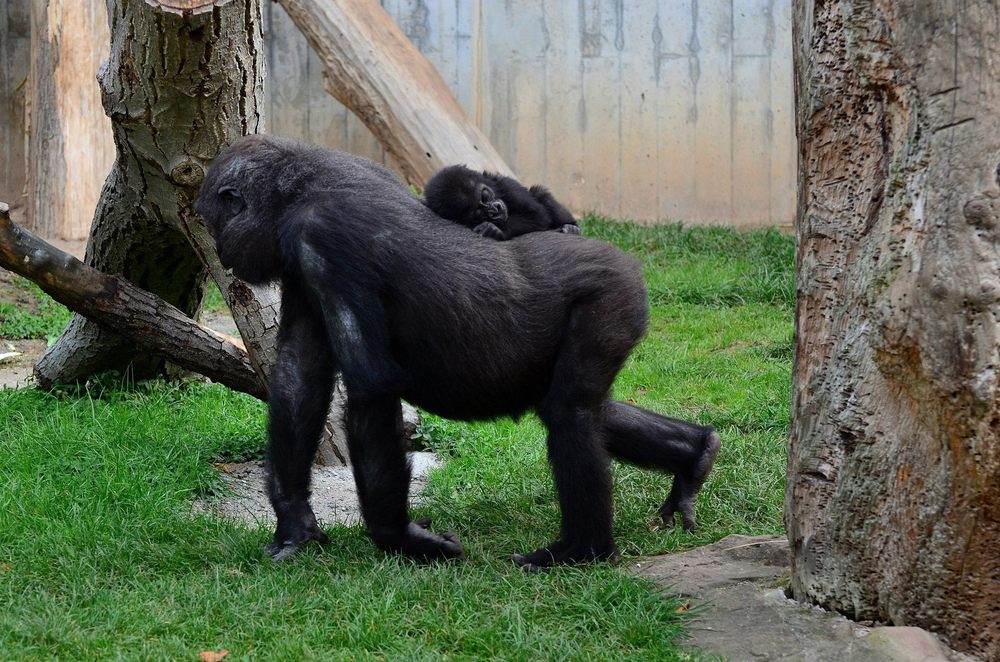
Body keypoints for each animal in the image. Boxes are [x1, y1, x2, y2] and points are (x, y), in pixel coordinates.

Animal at [424, 166, 584, 241]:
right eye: (478, 213)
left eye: (485, 196)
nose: (495, 210)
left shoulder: (508, 185)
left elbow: (536, 215)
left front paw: (495, 230)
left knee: (541, 194)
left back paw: (572, 227)